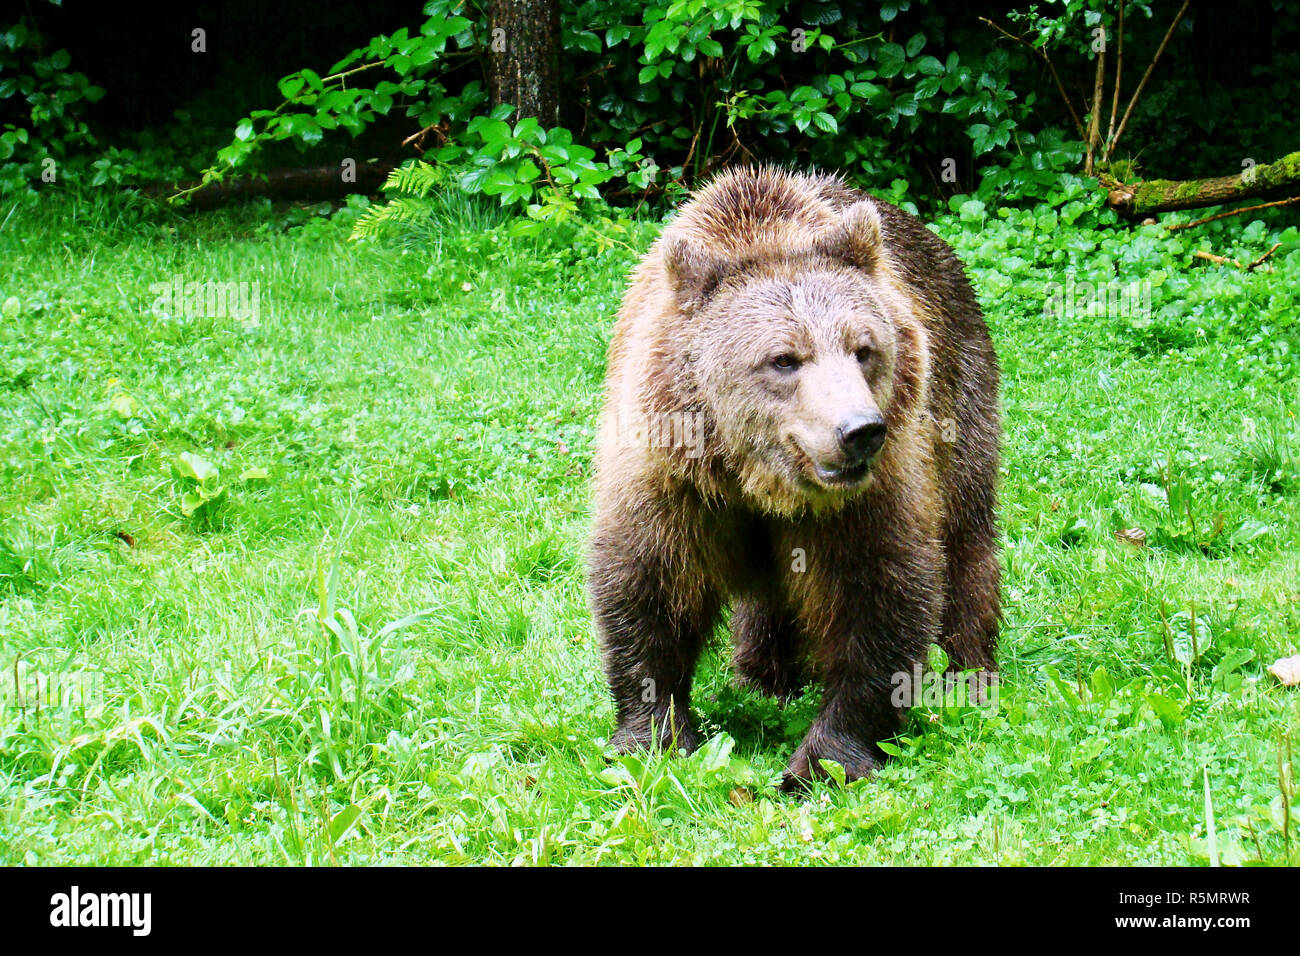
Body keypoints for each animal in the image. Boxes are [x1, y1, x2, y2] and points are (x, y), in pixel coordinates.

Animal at [585, 166, 998, 790]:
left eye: (863, 348)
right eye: (784, 358)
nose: (859, 430)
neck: (755, 478)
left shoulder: (874, 491)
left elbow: (878, 594)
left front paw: (824, 760)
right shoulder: (669, 474)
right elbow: (647, 583)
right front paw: (651, 736)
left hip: (961, 401)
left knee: (967, 540)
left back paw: (971, 674)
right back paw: (763, 677)